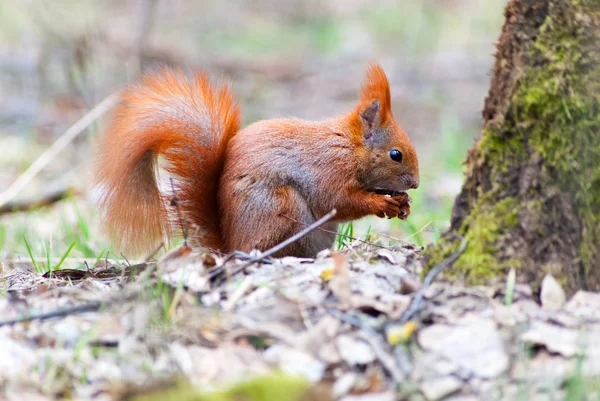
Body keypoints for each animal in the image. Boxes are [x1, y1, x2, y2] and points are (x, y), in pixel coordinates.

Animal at [95, 62, 422, 256]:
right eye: (396, 154)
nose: (416, 184)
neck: (349, 147)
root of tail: (231, 248)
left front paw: (402, 203)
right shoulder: (328, 169)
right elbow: (338, 201)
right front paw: (382, 203)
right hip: (283, 209)